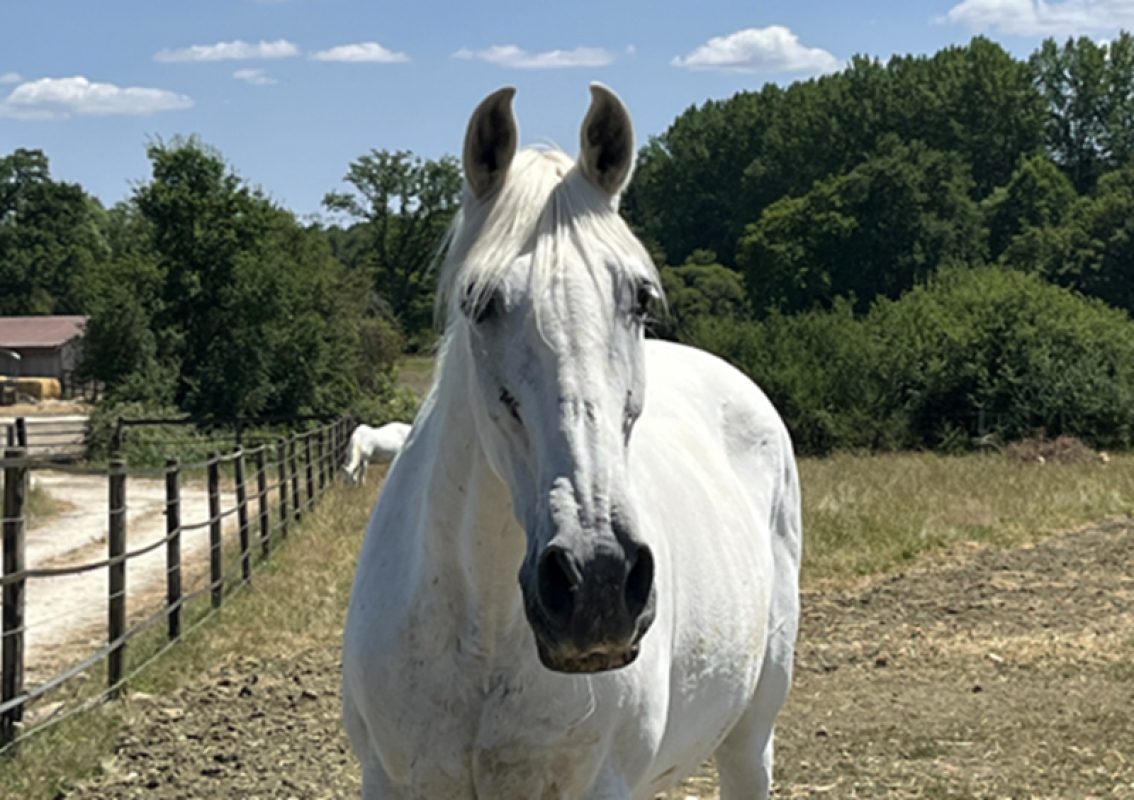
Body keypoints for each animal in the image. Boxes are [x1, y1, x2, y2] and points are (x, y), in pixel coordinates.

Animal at [342, 84, 802, 800]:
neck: (483, 630)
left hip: (751, 735)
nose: (597, 582)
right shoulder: (387, 780)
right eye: (479, 302)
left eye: (640, 298)